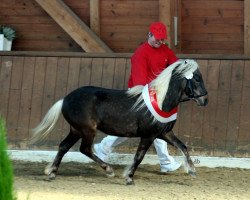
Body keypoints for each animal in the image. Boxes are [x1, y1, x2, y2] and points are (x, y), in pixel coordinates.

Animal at [30, 59, 207, 184]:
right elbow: (139, 156)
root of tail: (65, 99)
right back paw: (108, 170)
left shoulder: (164, 133)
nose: (205, 100)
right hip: (87, 130)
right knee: (84, 149)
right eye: (197, 79)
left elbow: (183, 146)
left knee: (63, 146)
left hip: (76, 130)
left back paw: (52, 173)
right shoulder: (149, 135)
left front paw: (192, 170)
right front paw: (129, 177)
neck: (161, 100)